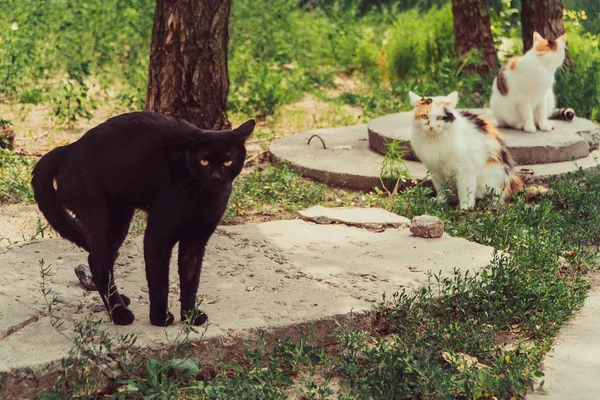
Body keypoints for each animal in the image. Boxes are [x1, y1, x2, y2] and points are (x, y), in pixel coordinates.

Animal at [31, 111, 254, 326]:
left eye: (227, 161)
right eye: (204, 161)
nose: (216, 177)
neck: (203, 195)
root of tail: (70, 148)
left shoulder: (196, 240)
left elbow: (191, 280)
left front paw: (190, 316)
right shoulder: (158, 236)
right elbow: (159, 281)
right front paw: (160, 318)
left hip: (120, 220)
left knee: (99, 261)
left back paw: (119, 302)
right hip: (105, 220)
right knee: (98, 262)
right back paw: (119, 314)